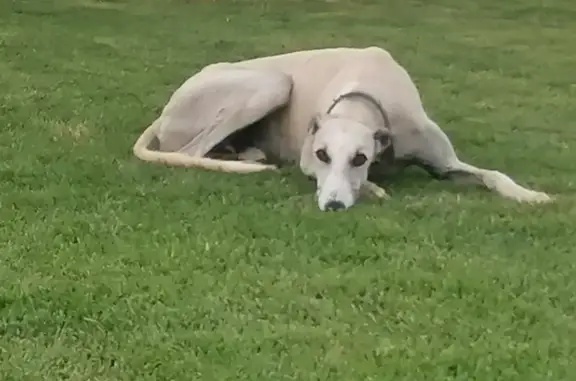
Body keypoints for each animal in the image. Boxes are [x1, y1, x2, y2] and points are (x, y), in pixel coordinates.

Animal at [133, 46, 552, 211]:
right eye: (321, 155)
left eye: (360, 158)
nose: (332, 207)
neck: (368, 94)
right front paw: (373, 189)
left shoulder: (445, 163)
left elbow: (494, 175)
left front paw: (530, 195)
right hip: (273, 82)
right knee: (190, 152)